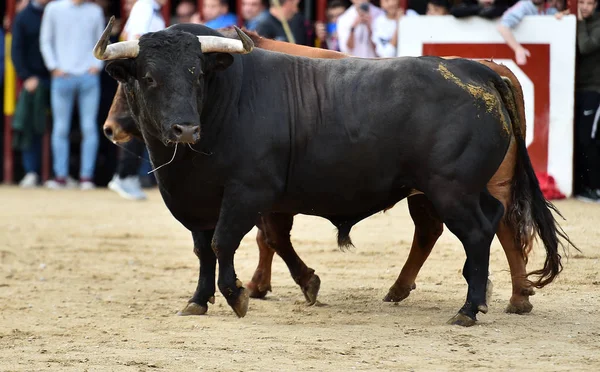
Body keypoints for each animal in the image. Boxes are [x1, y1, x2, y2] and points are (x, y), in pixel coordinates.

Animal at [95, 18, 568, 326]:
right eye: (147, 78)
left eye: (196, 74)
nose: (185, 128)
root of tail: (481, 69)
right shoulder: (197, 199)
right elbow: (205, 250)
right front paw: (198, 300)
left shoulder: (249, 193)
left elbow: (228, 241)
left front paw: (240, 295)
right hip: (452, 190)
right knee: (480, 225)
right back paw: (493, 297)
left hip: (453, 189)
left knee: (480, 230)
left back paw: (471, 308)